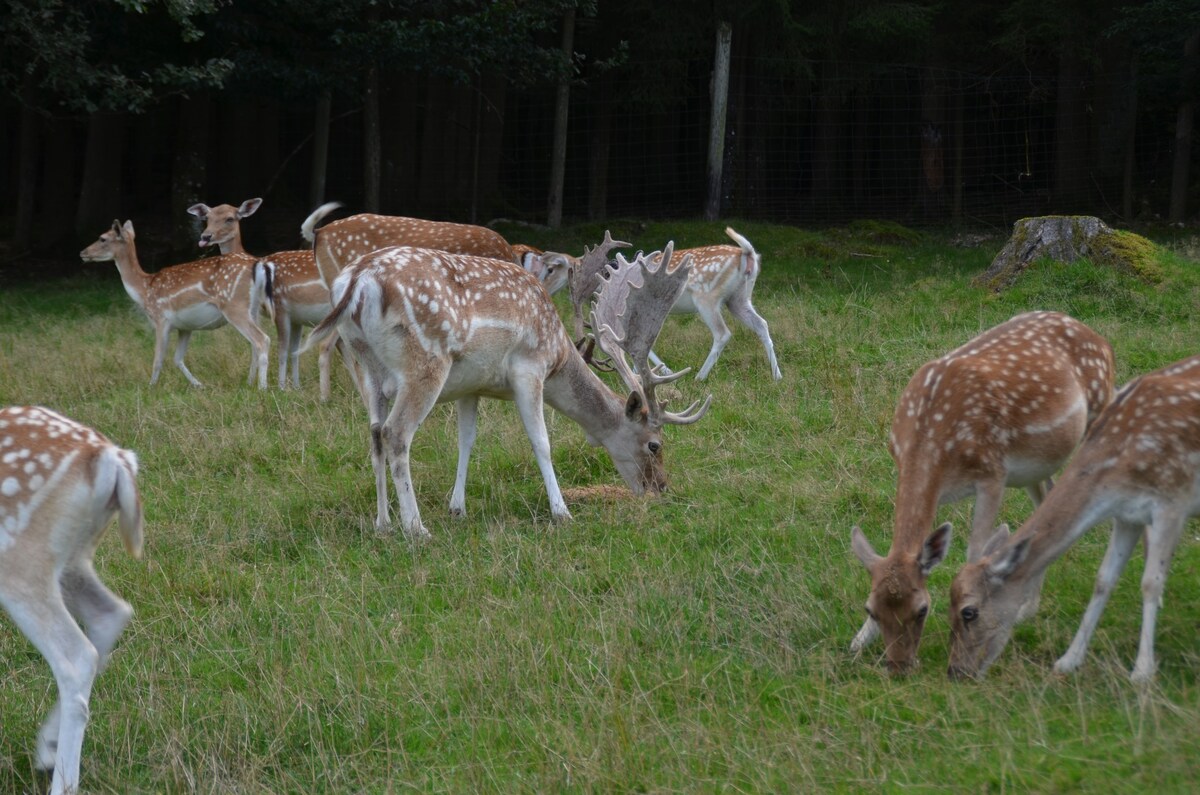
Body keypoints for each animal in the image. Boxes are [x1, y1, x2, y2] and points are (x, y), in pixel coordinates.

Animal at [0, 408, 144, 792]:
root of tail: (114, 459)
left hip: (21, 563)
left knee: (75, 656)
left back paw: (62, 781)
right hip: (74, 555)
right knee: (111, 611)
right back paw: (47, 751)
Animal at [302, 242, 710, 542]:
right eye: (654, 444)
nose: (661, 488)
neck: (559, 354)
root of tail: (357, 281)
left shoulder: (472, 385)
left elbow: (467, 441)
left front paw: (458, 507)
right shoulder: (528, 368)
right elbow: (541, 441)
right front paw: (562, 512)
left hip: (367, 365)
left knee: (374, 435)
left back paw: (383, 524)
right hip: (426, 361)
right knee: (396, 433)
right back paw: (416, 528)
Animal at [537, 226, 782, 384]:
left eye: (552, 270)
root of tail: (747, 254)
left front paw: (656, 371)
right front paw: (658, 370)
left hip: (707, 298)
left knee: (723, 333)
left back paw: (699, 377)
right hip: (739, 298)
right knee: (762, 324)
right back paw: (776, 376)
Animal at [849, 314, 1108, 677]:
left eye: (922, 609)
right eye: (870, 609)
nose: (899, 666)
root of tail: (1098, 337)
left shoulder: (992, 473)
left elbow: (975, 551)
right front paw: (858, 642)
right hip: (1034, 466)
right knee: (1048, 498)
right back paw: (1028, 607)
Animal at [945, 355, 1200, 686]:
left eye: (969, 612)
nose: (955, 671)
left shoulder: (1171, 503)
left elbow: (1150, 583)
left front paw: (1142, 672)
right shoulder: (1127, 514)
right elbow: (1103, 579)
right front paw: (1068, 661)